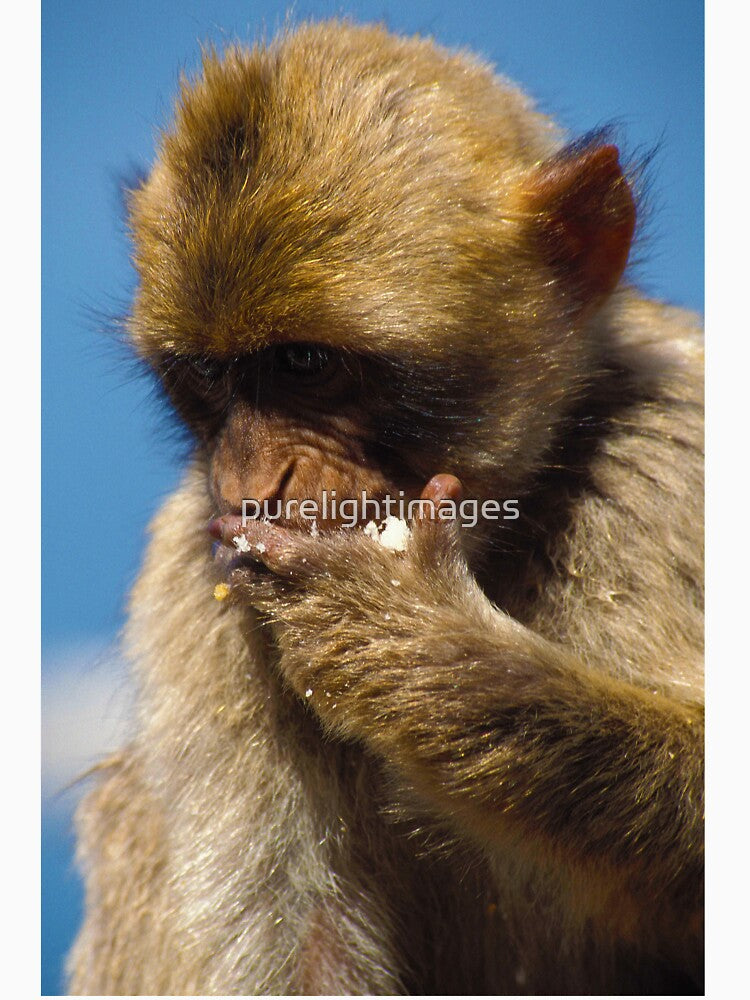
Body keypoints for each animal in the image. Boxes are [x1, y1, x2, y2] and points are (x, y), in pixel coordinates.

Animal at [67, 20, 704, 996]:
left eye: (305, 364)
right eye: (209, 376)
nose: (251, 486)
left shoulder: (666, 447)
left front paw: (412, 637)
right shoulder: (196, 572)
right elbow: (299, 948)